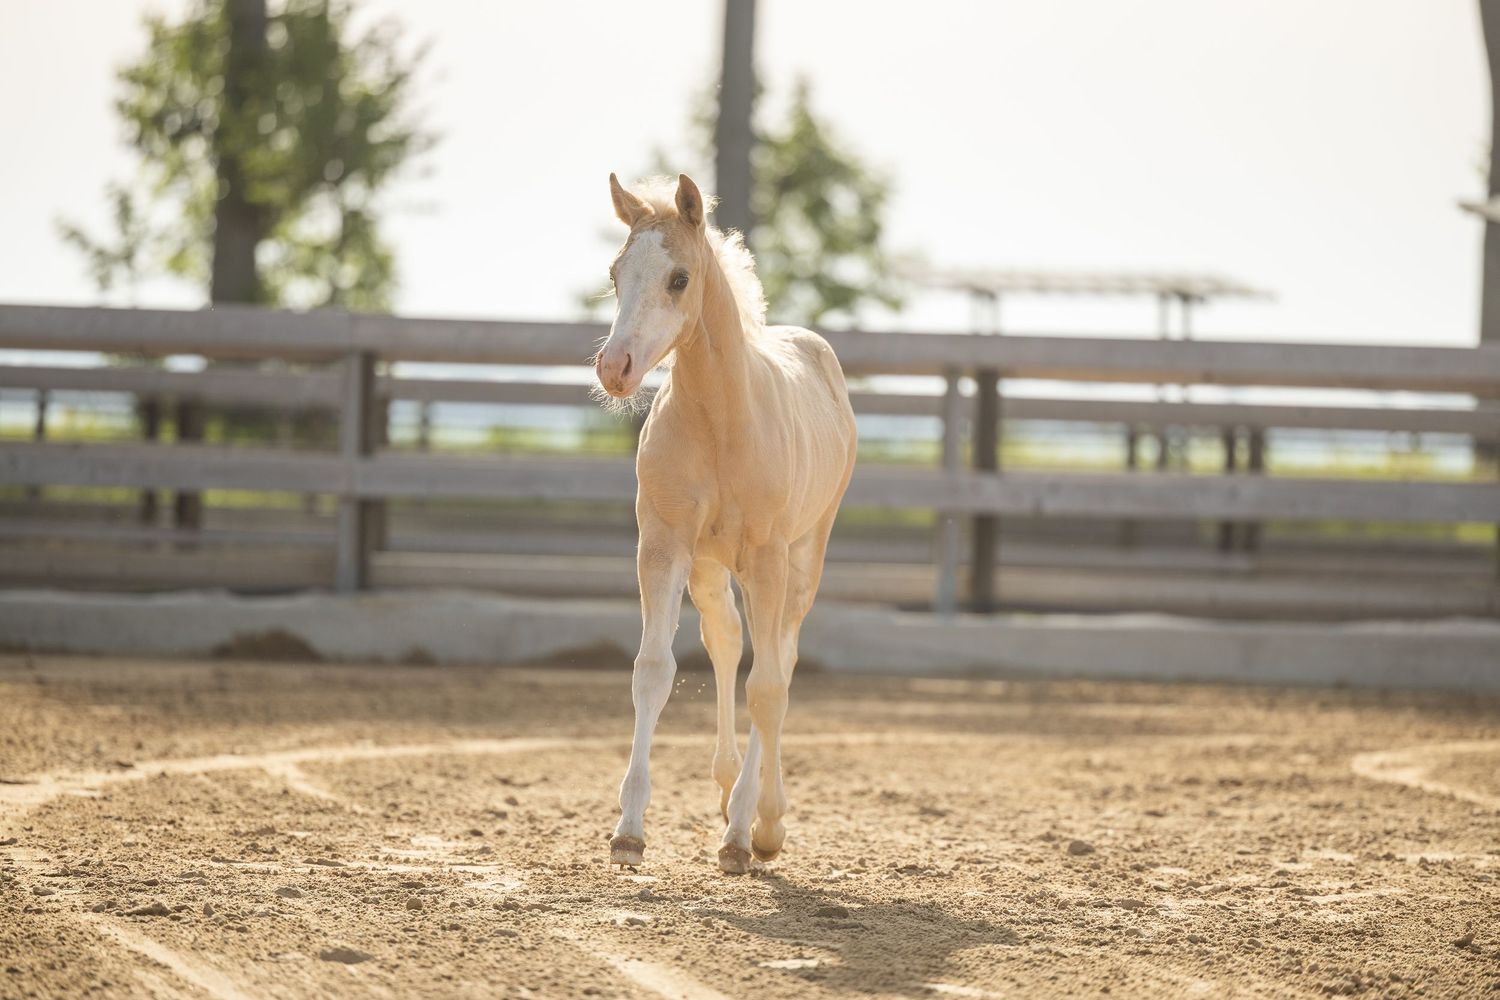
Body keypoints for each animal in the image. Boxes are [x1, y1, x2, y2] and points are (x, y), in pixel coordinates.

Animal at [592, 173, 858, 874]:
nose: (614, 367)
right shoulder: (663, 547)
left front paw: (742, 836)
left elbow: (767, 687)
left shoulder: (766, 556)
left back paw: (766, 816)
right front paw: (629, 831)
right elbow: (654, 670)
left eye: (679, 278)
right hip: (712, 567)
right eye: (616, 273)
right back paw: (726, 781)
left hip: (804, 556)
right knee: (728, 641)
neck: (719, 423)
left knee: (780, 660)